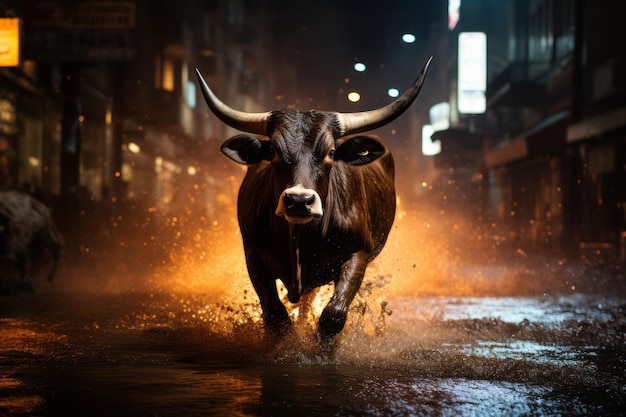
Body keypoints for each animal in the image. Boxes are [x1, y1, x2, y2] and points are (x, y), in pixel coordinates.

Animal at [195, 57, 428, 338]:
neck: (298, 236)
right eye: (273, 151)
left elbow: (333, 316)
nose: (299, 200)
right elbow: (276, 316)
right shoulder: (253, 255)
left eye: (331, 152)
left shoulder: (358, 253)